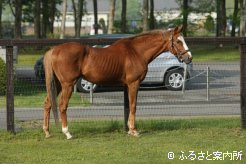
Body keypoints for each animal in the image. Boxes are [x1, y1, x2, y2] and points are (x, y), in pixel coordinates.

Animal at [42, 26, 192, 139]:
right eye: (178, 41)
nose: (189, 58)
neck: (136, 51)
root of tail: (54, 50)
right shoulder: (134, 83)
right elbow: (133, 106)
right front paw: (134, 130)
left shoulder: (127, 85)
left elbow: (129, 106)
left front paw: (130, 129)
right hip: (67, 84)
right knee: (62, 105)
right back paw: (67, 133)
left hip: (57, 84)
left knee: (48, 103)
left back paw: (47, 132)